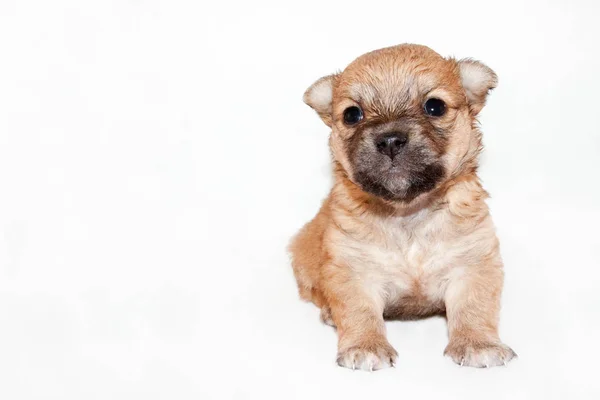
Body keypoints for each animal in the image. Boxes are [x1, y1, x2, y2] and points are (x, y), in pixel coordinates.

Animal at [288, 44, 512, 372]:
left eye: (435, 107)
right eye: (352, 114)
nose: (390, 140)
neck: (407, 213)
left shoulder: (472, 265)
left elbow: (475, 306)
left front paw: (478, 343)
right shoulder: (352, 272)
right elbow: (360, 312)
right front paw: (366, 346)